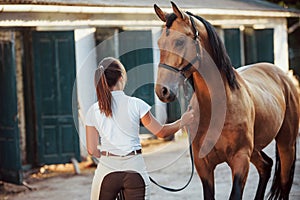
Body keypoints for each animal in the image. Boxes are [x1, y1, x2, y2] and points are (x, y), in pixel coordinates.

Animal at [154, 1, 298, 200]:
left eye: (180, 41)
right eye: (159, 43)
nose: (163, 91)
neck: (220, 105)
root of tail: (282, 75)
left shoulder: (240, 159)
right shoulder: (204, 165)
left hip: (286, 145)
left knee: (283, 183)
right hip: (255, 150)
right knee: (266, 166)